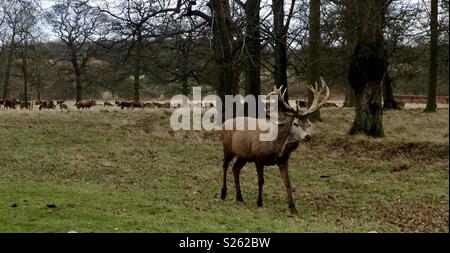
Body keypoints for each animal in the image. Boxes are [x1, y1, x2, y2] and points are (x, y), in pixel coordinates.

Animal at [221, 78, 330, 213]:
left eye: (309, 123)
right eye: (295, 123)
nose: (308, 136)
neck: (277, 148)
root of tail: (224, 123)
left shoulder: (283, 160)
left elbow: (287, 182)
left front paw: (293, 208)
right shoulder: (258, 157)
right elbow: (261, 181)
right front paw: (259, 202)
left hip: (243, 156)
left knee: (235, 169)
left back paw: (239, 197)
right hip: (227, 147)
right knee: (225, 166)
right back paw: (223, 194)